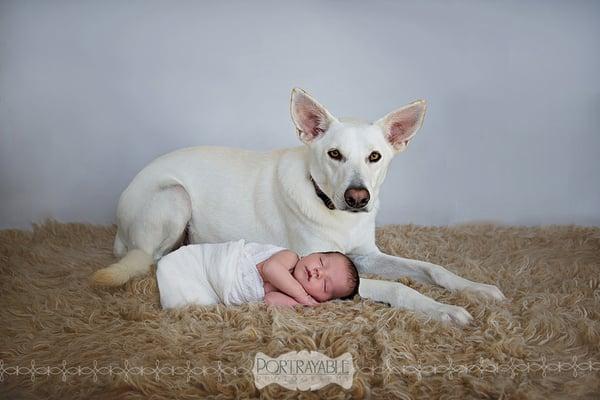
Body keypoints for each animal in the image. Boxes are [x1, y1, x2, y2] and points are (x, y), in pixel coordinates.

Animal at [94, 88, 504, 324]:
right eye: (334, 154)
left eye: (375, 157)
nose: (358, 198)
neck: (333, 210)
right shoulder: (320, 267)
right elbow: (399, 288)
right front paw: (445, 310)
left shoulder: (366, 255)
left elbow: (433, 269)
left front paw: (477, 288)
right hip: (174, 195)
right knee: (152, 258)